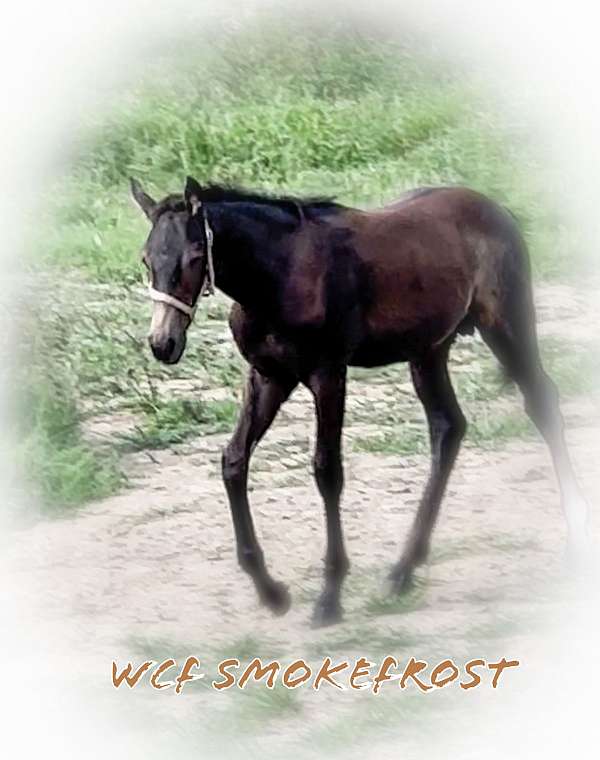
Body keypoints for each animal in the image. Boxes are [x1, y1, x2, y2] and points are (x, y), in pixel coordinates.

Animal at [130, 175, 590, 626]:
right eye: (146, 259)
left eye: (195, 256)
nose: (163, 344)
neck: (281, 271)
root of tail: (496, 208)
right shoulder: (270, 376)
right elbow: (233, 461)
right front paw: (271, 592)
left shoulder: (328, 373)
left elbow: (327, 471)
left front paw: (330, 596)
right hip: (428, 350)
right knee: (448, 427)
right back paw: (403, 570)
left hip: (506, 323)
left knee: (541, 403)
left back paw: (575, 534)